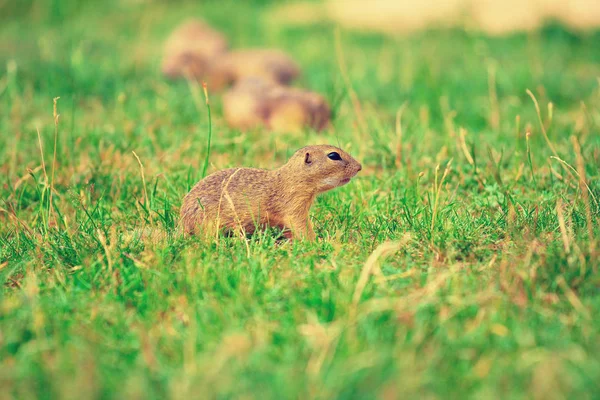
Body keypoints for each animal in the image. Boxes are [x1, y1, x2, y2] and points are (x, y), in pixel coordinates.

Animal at [180, 147, 360, 241]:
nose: (359, 167)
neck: (290, 179)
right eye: (333, 155)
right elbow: (302, 226)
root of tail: (181, 223)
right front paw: (317, 241)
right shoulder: (294, 207)